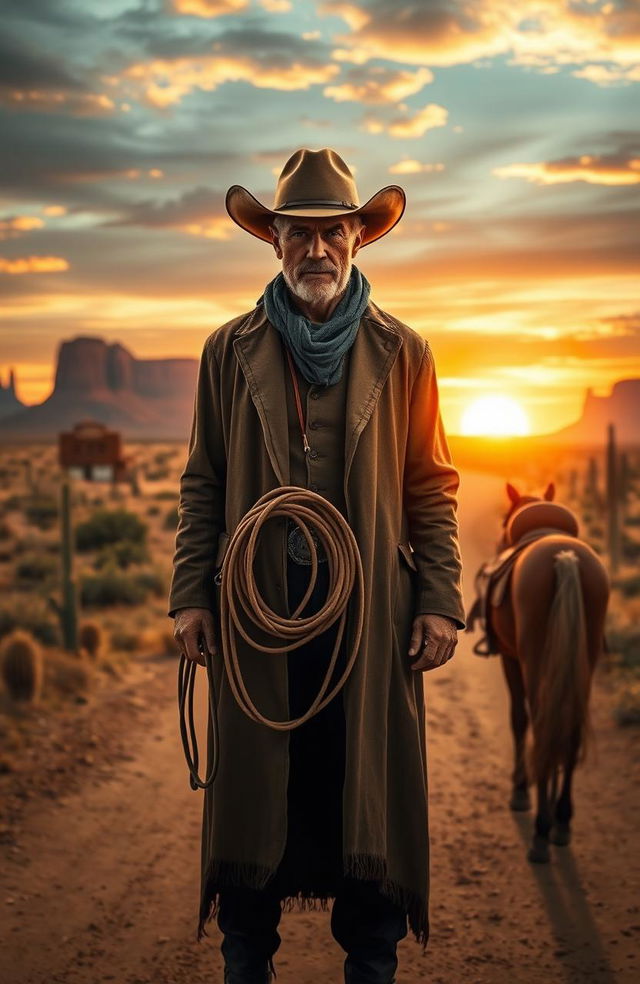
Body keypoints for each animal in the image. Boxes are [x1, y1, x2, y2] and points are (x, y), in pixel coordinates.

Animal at [480, 482, 608, 860]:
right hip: (584, 659)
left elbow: (519, 720)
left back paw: (541, 828)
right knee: (569, 730)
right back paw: (561, 820)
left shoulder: (510, 659)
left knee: (540, 723)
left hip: (532, 658)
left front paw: (521, 789)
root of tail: (565, 558)